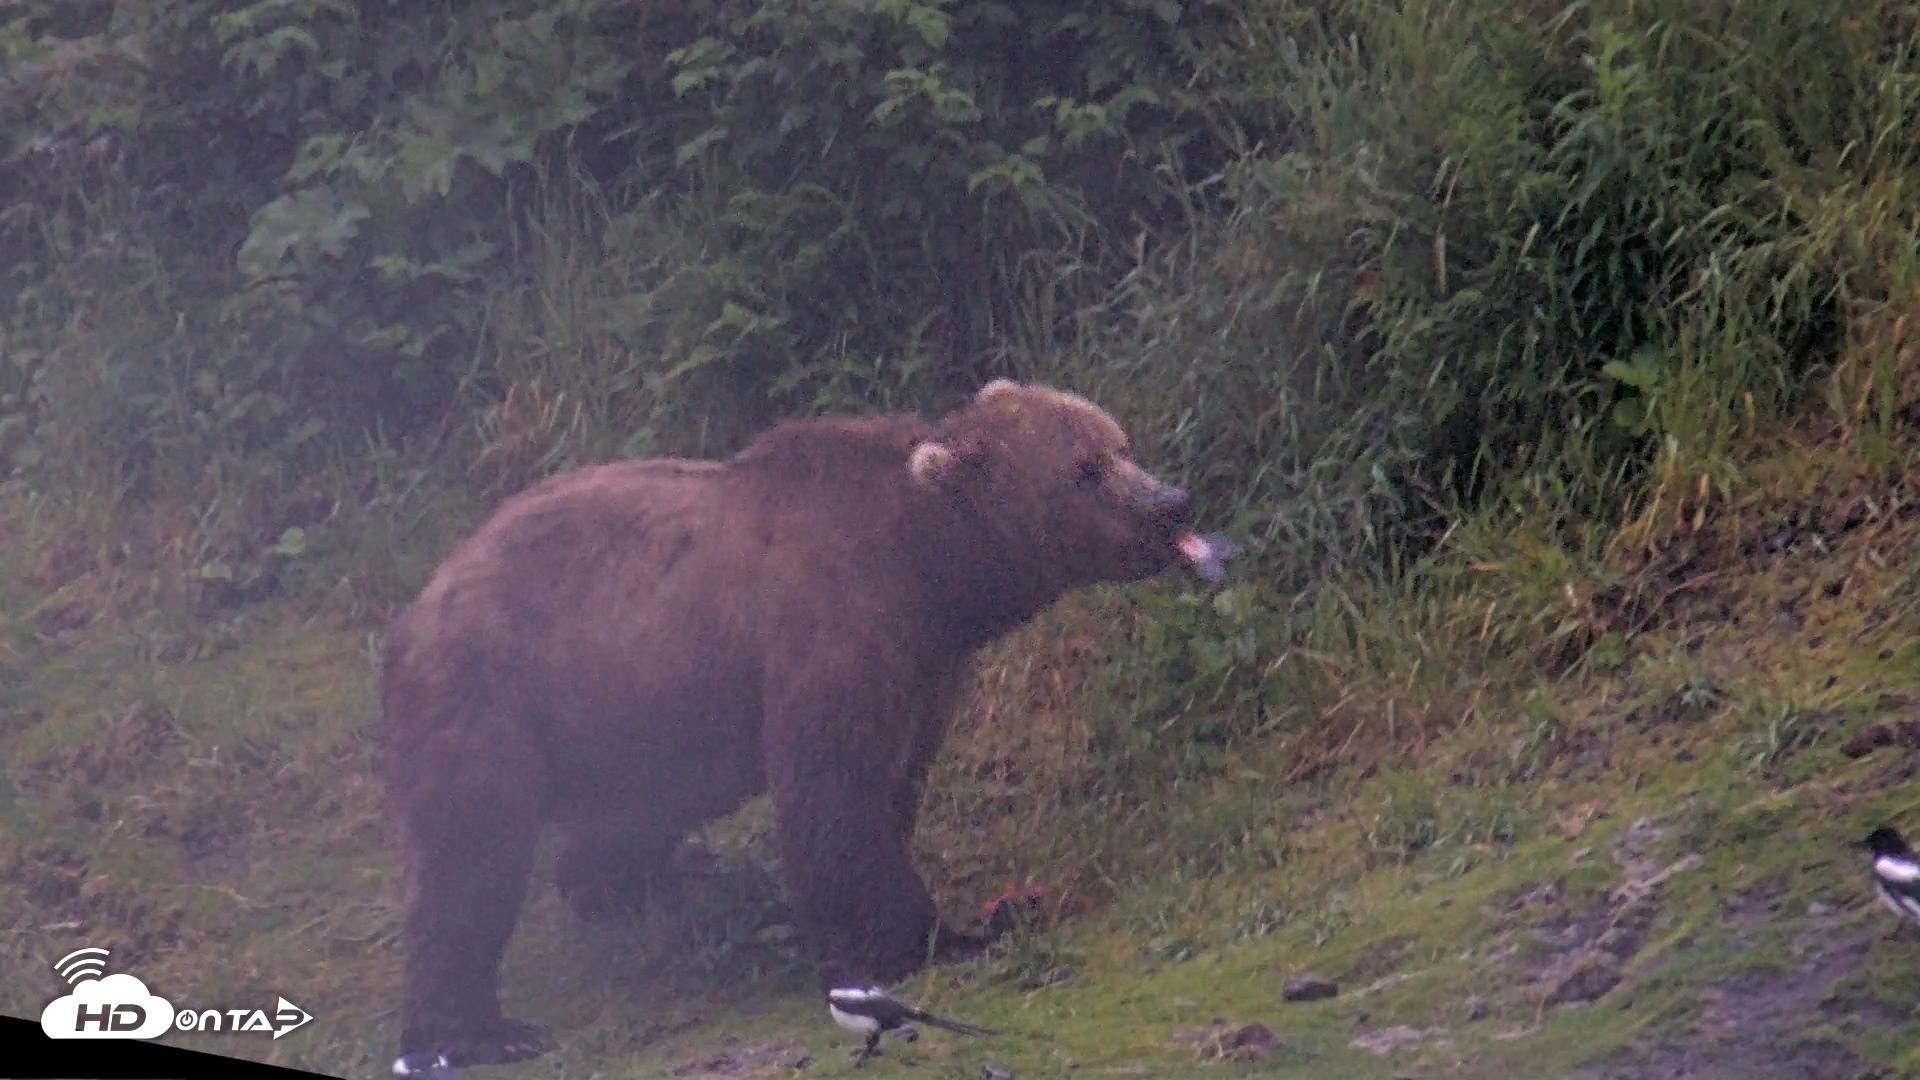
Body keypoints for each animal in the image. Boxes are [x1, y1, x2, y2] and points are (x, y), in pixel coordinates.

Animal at [381, 378, 1216, 1070]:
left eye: (1118, 442)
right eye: (1082, 469)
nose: (1171, 501)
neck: (931, 565)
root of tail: (416, 604)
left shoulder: (926, 666)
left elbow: (892, 782)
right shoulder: (834, 631)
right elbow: (837, 798)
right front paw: (937, 935)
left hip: (623, 721)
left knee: (622, 818)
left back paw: (648, 879)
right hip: (493, 692)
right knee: (470, 858)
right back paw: (484, 1029)